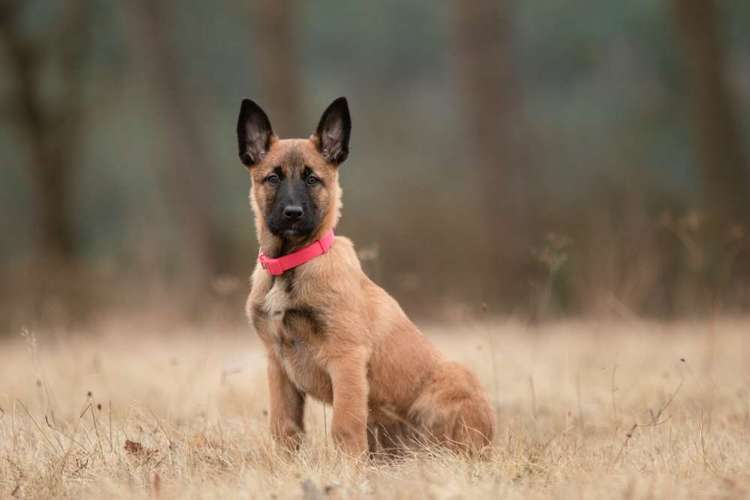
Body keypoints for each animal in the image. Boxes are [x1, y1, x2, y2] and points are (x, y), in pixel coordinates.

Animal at [238, 96, 496, 458]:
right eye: (273, 178)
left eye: (312, 179)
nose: (292, 214)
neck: (291, 264)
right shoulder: (278, 365)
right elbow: (283, 427)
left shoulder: (346, 358)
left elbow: (345, 426)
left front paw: (348, 468)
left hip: (452, 381)